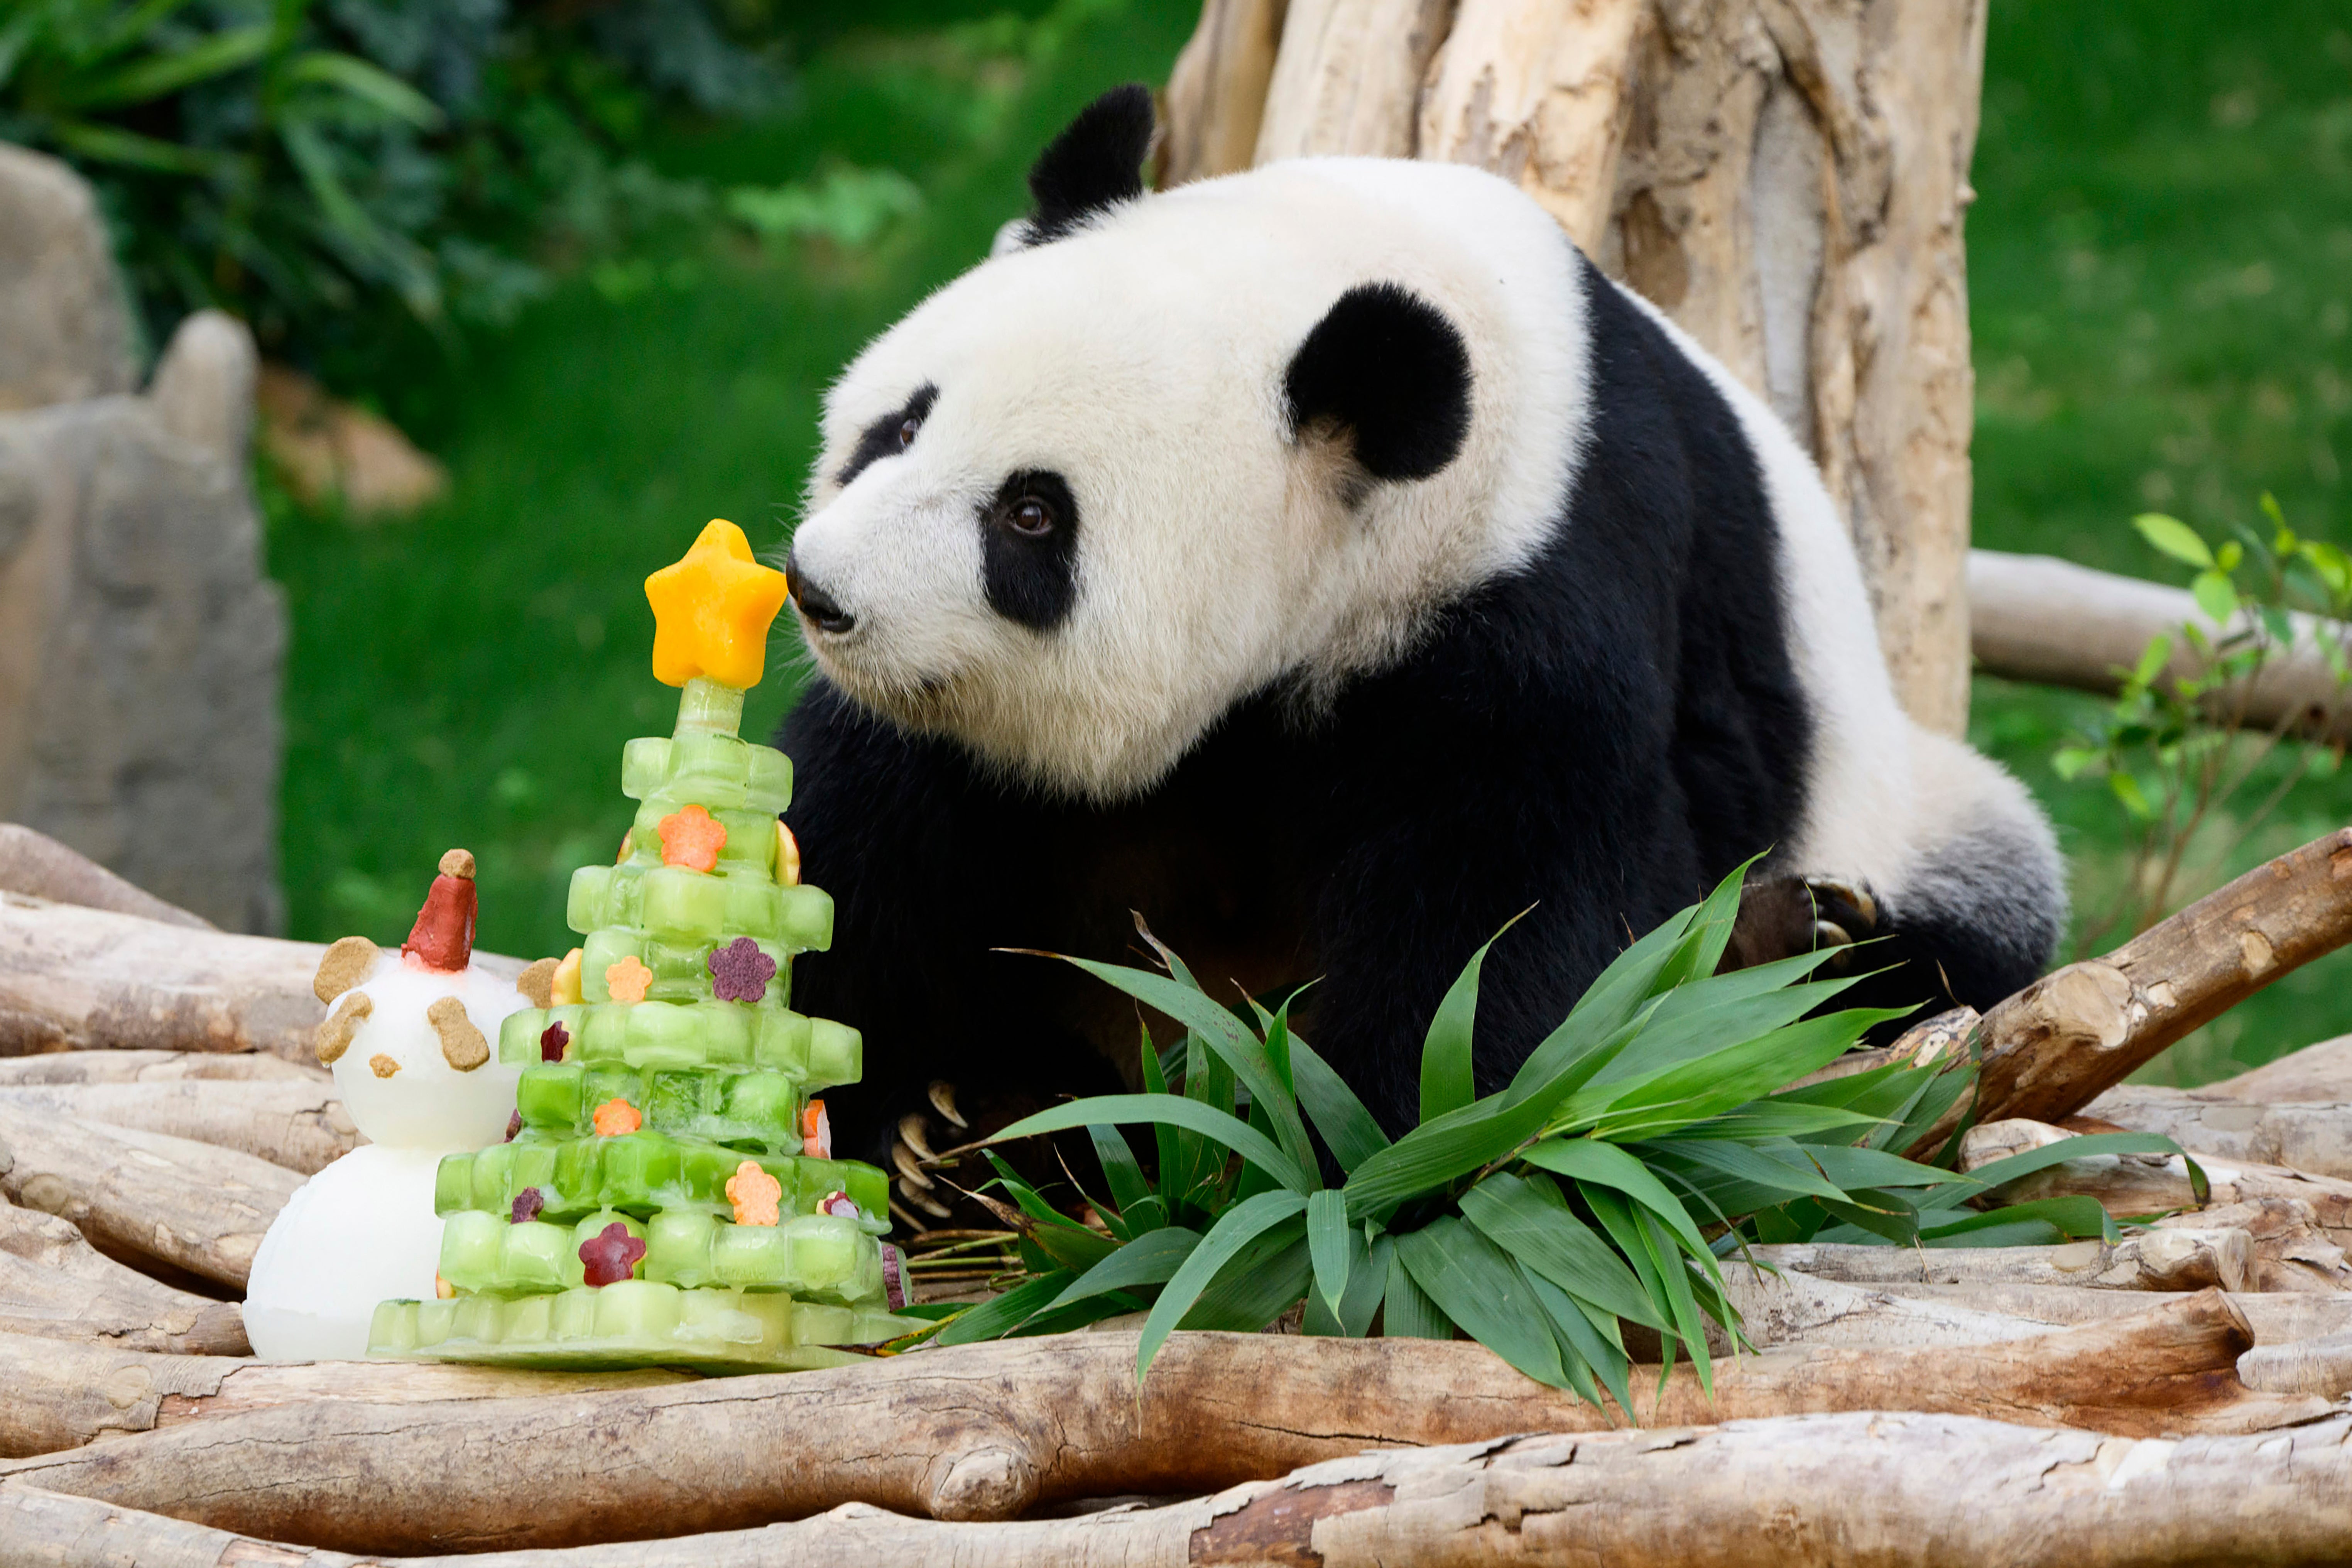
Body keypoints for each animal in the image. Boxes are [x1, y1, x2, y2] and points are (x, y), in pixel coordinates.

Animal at [775, 85, 2065, 1198]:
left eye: (1032, 515)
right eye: (902, 425)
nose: (820, 592)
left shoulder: (1532, 586)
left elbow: (1509, 922)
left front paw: (1349, 1148)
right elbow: (867, 839)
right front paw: (918, 1111)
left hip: (1899, 800)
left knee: (1973, 923)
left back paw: (1804, 939)